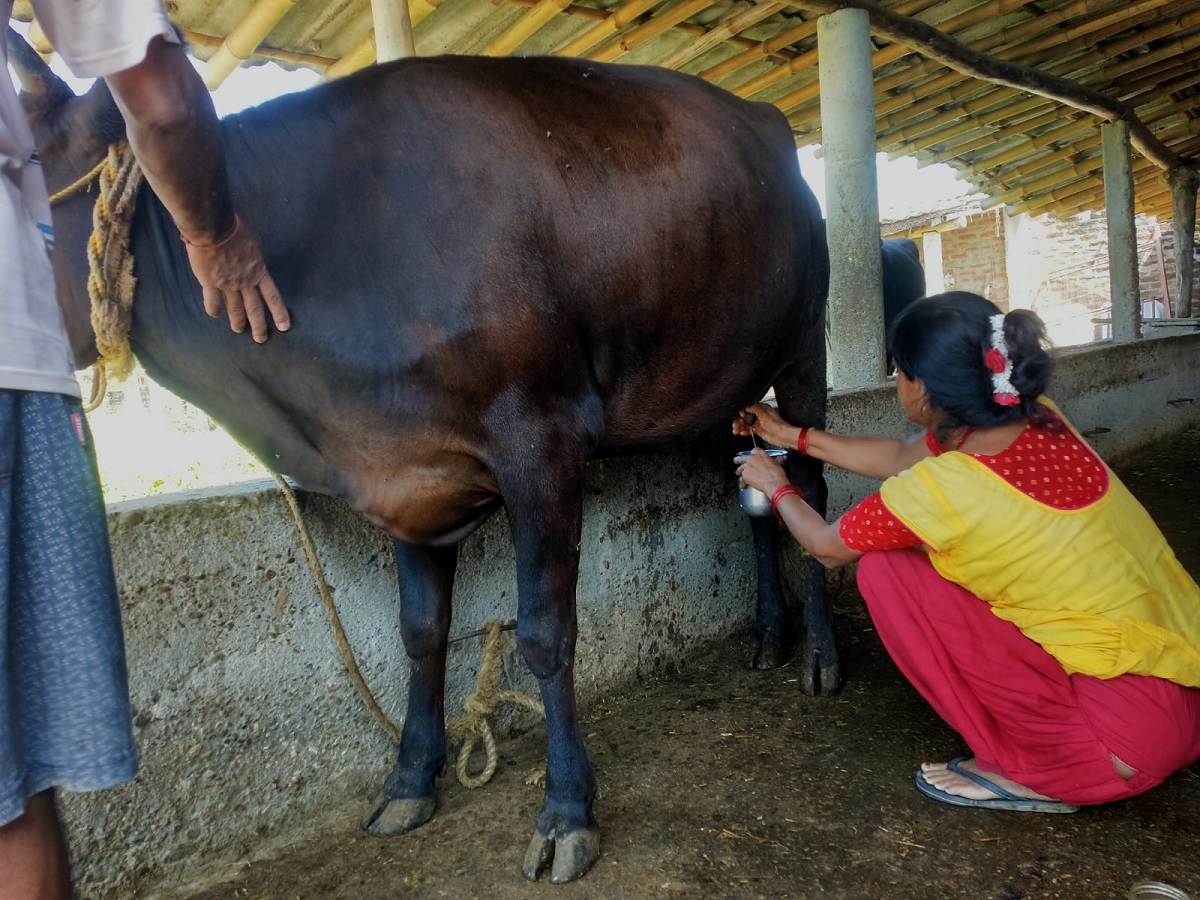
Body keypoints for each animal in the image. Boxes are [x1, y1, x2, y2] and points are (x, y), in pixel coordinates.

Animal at [11, 37, 825, 888]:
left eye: (20, 171)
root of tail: (763, 119)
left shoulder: (541, 441)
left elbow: (546, 634)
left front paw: (567, 812)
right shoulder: (404, 473)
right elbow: (419, 632)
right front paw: (409, 780)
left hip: (802, 345)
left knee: (809, 481)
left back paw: (818, 657)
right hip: (720, 376)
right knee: (752, 485)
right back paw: (769, 635)